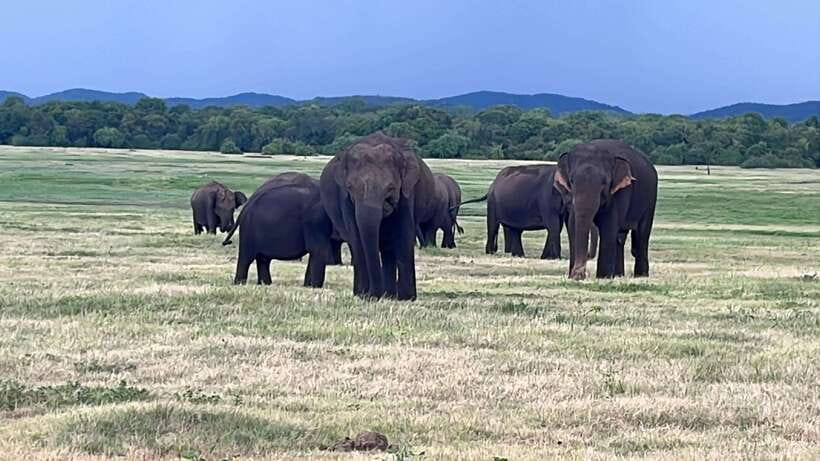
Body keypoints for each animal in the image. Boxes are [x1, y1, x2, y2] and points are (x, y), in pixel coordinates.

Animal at [320, 132, 436, 301]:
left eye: (391, 188)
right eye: (350, 187)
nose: (373, 295)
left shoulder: (407, 193)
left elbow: (403, 236)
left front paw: (407, 298)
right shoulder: (345, 199)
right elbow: (357, 238)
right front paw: (364, 295)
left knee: (388, 249)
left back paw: (390, 295)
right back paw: (380, 294)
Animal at [458, 164, 597, 259]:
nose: (588, 256)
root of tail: (492, 184)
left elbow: (563, 225)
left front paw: (546, 258)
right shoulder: (546, 199)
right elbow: (554, 225)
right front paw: (555, 258)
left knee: (515, 230)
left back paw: (518, 255)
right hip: (493, 202)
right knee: (493, 226)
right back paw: (491, 253)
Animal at [553, 139, 657, 280]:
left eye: (604, 183)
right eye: (572, 181)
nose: (580, 274)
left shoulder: (621, 191)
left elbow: (609, 227)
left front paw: (603, 277)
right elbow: (573, 225)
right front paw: (573, 276)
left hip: (650, 199)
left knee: (641, 236)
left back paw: (641, 276)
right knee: (620, 238)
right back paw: (618, 275)